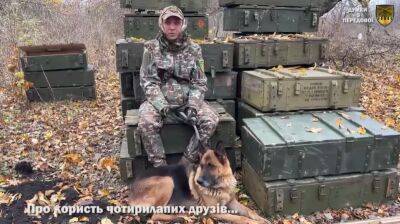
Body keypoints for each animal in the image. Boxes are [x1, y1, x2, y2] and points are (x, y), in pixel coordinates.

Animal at [126, 143, 270, 223]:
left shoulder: (232, 203)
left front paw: (262, 219)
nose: (198, 181)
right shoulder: (215, 211)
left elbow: (250, 211)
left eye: (211, 166)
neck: (221, 186)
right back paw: (181, 217)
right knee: (153, 215)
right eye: (201, 165)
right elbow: (241, 218)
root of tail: (130, 193)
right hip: (167, 181)